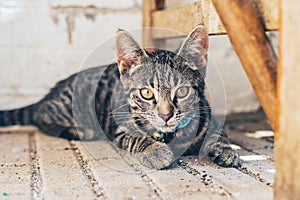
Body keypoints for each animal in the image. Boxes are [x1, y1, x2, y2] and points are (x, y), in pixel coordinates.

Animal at [0, 24, 239, 169]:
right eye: (146, 93)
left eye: (182, 91)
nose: (165, 116)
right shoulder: (117, 125)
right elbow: (136, 137)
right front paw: (155, 150)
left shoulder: (208, 113)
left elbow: (219, 132)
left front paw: (225, 149)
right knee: (40, 115)